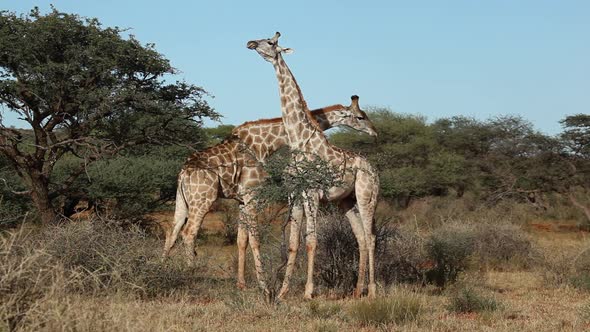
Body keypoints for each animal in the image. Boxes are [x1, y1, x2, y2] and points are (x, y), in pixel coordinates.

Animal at [162, 96, 376, 296]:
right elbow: (255, 239)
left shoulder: (242, 200)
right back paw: (191, 275)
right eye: (360, 116)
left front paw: (241, 284)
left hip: (183, 201)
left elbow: (242, 240)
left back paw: (163, 269)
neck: (265, 144)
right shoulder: (252, 195)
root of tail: (184, 172)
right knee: (189, 233)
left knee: (172, 231)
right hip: (202, 200)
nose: (374, 132)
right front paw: (264, 287)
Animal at [247, 32, 382, 300]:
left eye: (271, 42)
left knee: (371, 236)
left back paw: (371, 291)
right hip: (345, 201)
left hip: (366, 195)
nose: (250, 43)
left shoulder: (311, 194)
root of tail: (374, 170)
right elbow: (293, 243)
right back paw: (356, 290)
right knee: (361, 237)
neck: (299, 141)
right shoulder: (294, 194)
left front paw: (308, 292)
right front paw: (282, 293)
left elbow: (311, 241)